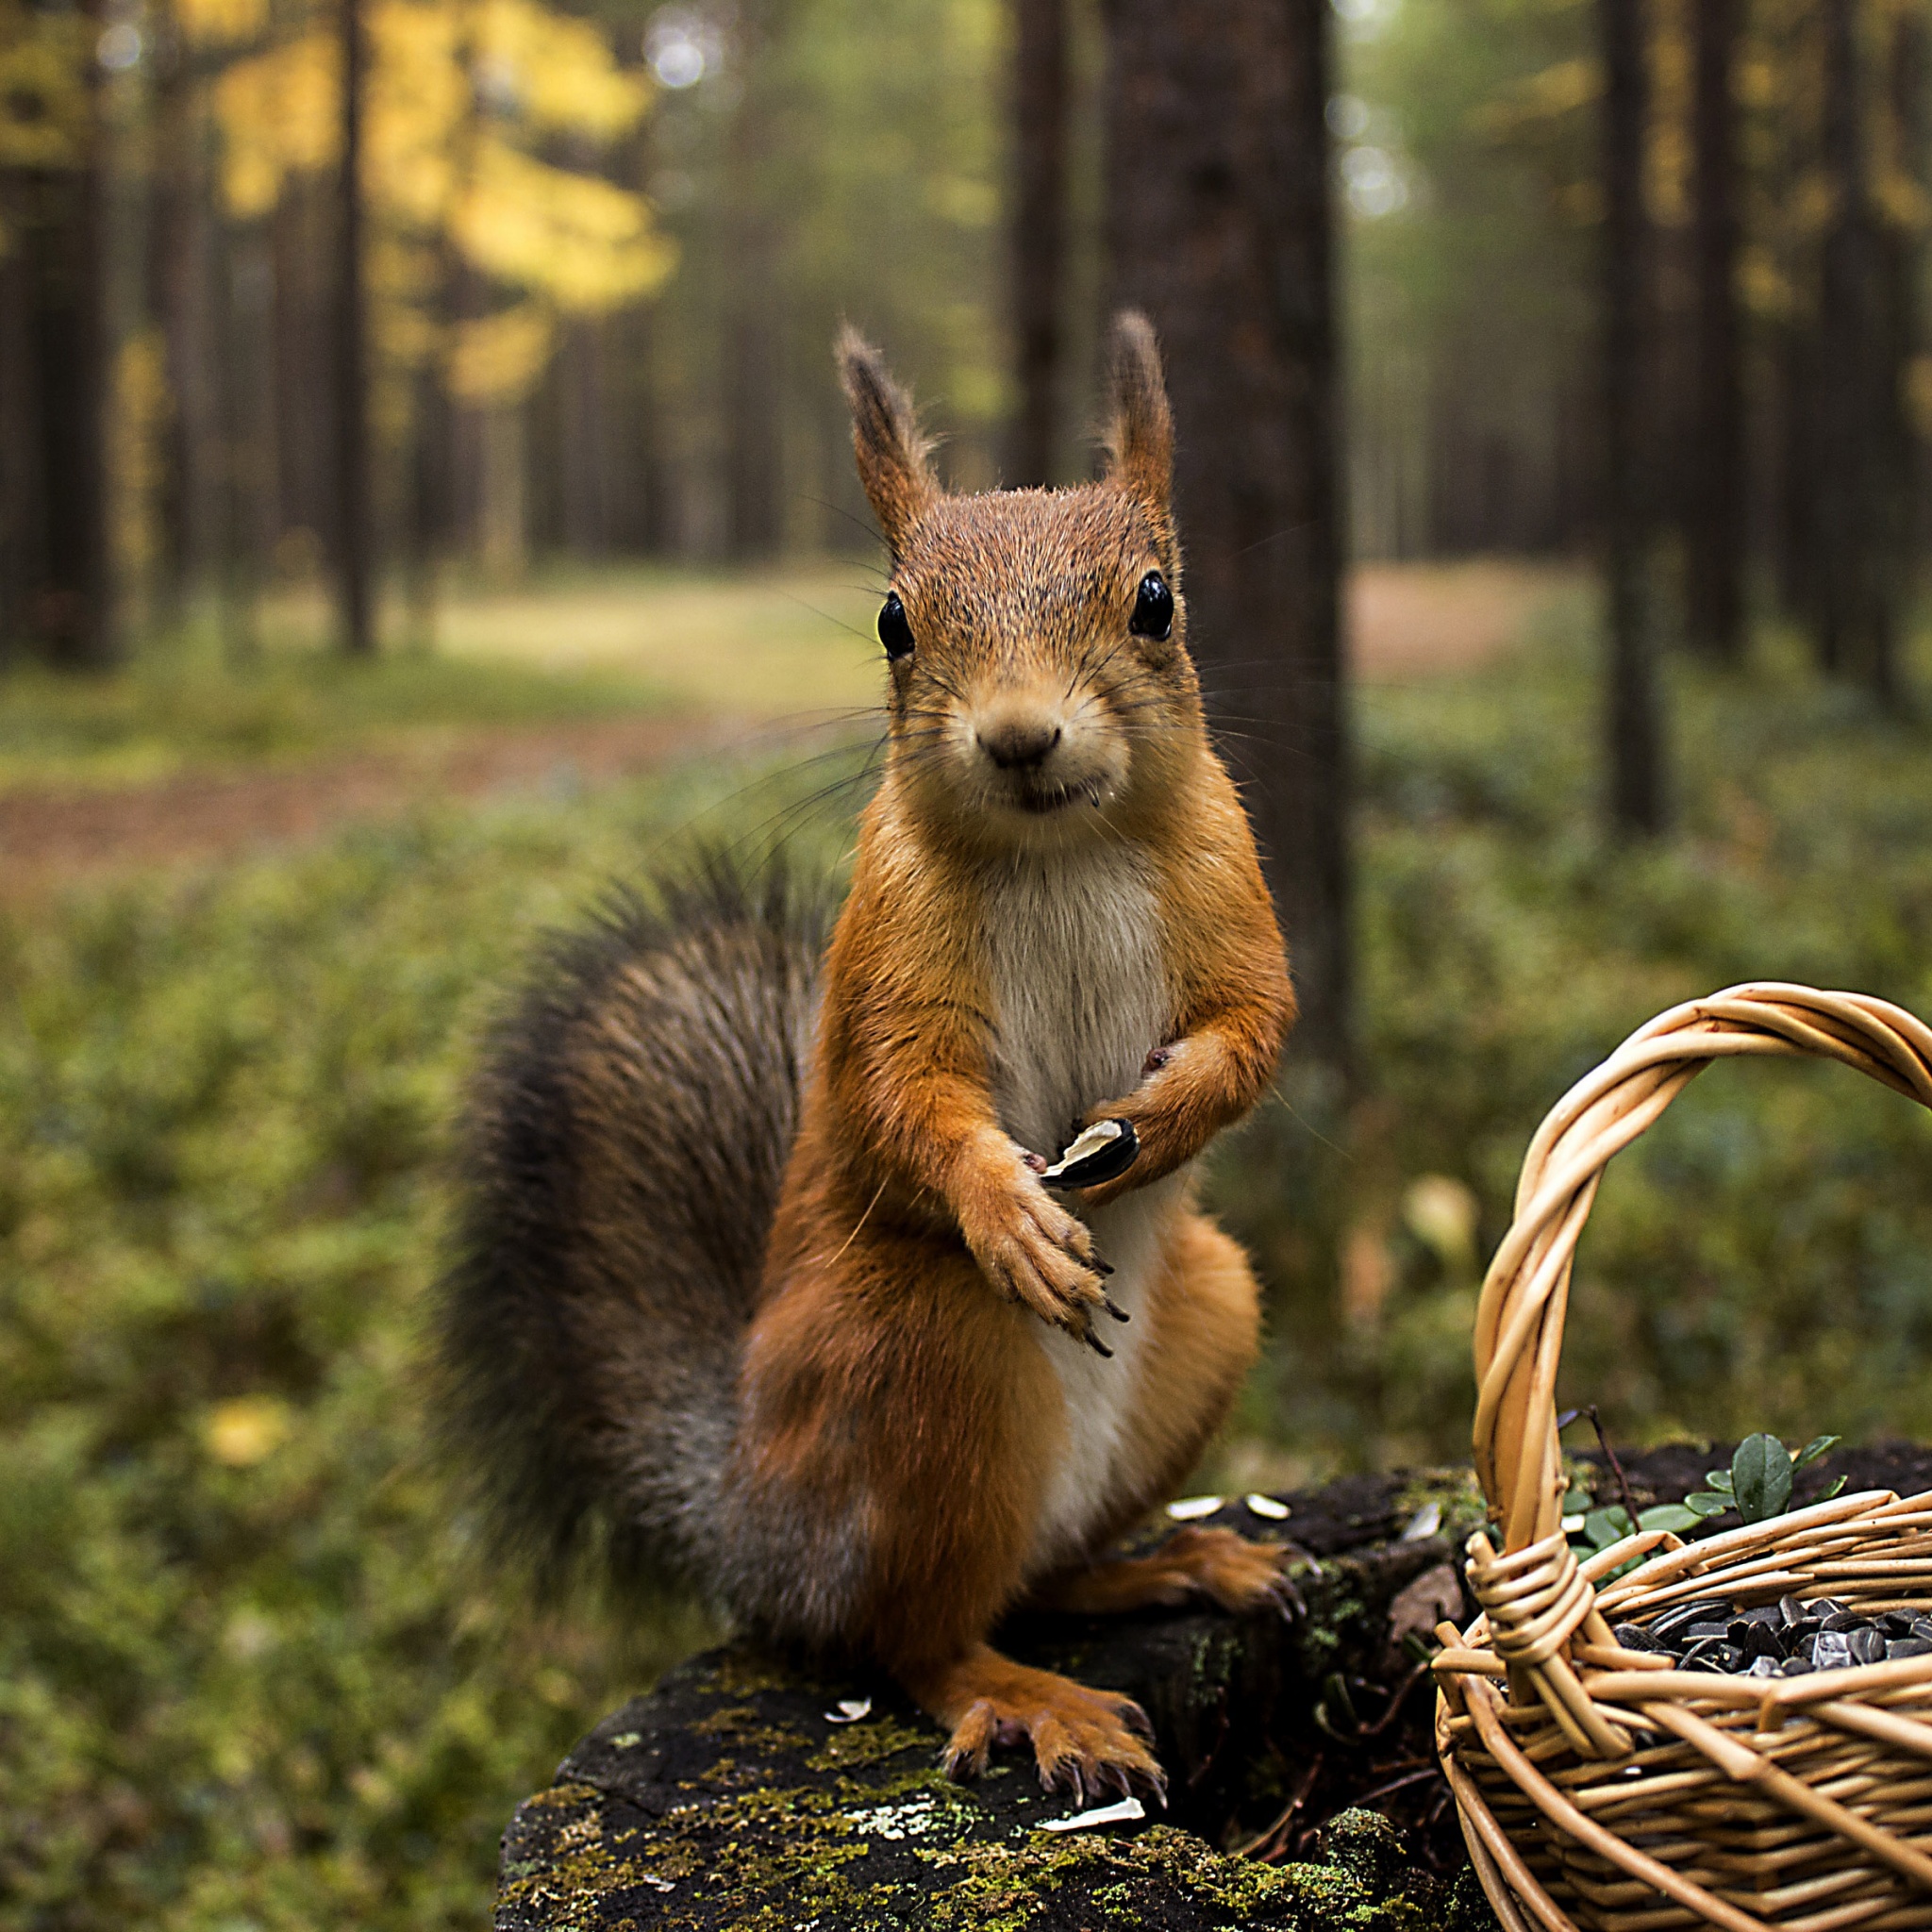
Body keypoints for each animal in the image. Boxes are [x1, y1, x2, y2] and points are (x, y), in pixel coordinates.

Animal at [438, 308, 1298, 1800]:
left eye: (1155, 601)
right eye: (896, 620)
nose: (1018, 736)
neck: (1062, 847)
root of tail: (752, 1528)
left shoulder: (1231, 891)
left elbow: (1254, 1027)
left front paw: (1160, 1120)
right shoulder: (888, 956)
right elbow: (904, 1097)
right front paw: (1009, 1209)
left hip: (1210, 1312)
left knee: (1036, 1576)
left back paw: (1170, 1563)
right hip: (918, 1357)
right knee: (912, 1635)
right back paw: (1028, 1695)